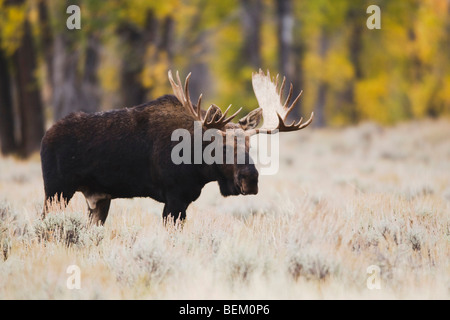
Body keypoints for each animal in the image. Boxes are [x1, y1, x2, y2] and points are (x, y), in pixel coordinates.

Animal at [41, 70, 312, 225]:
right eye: (221, 146)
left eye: (250, 145)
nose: (250, 179)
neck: (200, 167)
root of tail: (46, 136)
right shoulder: (174, 197)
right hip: (56, 190)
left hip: (97, 198)